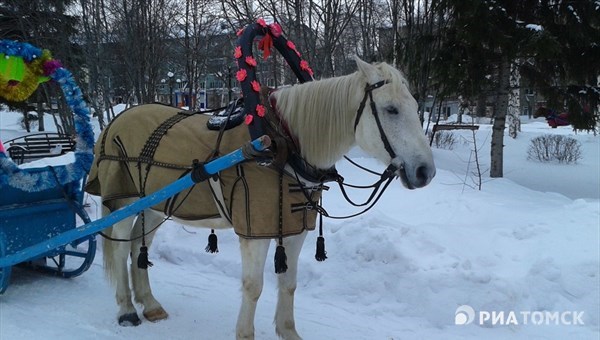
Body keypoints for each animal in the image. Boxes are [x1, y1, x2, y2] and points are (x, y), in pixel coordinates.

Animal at [89, 57, 434, 338]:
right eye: (391, 109)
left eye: (417, 108)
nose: (425, 171)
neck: (282, 146)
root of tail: (117, 120)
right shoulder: (254, 231)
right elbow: (254, 287)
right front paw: (245, 334)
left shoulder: (295, 230)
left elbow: (289, 283)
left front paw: (288, 331)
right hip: (124, 202)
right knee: (120, 248)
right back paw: (127, 309)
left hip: (155, 206)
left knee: (138, 247)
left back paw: (149, 303)